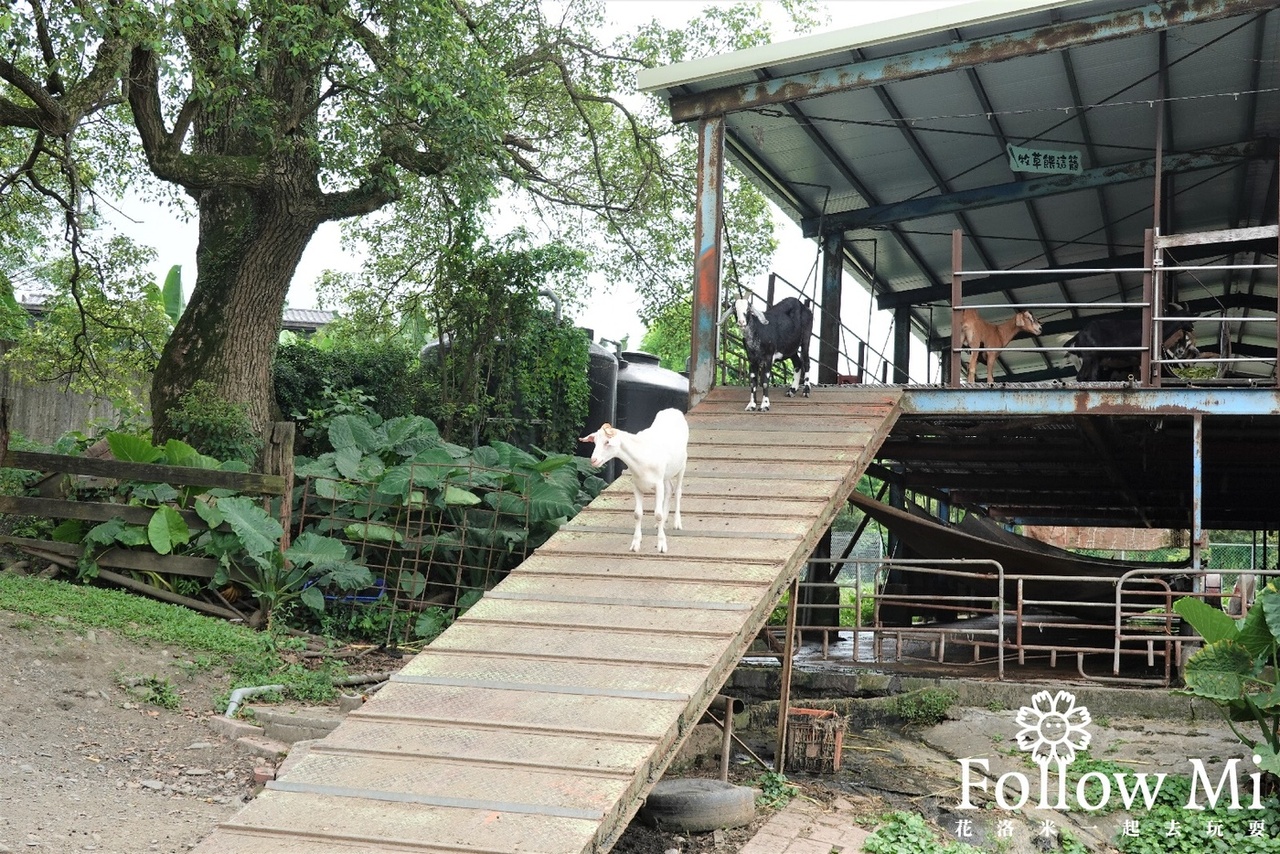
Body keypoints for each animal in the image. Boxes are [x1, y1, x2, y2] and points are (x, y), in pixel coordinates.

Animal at [583, 409, 691, 555]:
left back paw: (677, 523)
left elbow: (657, 514)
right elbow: (637, 514)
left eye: (607, 442)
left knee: (678, 491)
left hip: (682, 465)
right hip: (666, 474)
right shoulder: (637, 486)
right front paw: (635, 544)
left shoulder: (658, 484)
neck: (641, 455)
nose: (593, 460)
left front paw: (662, 545)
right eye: (594, 442)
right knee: (669, 489)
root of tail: (673, 410)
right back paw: (663, 522)